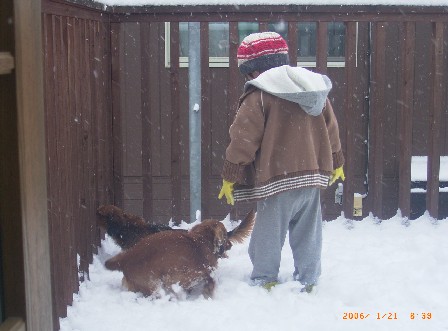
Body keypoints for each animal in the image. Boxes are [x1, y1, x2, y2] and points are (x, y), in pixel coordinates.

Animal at [103, 211, 254, 300]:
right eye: (224, 234)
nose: (230, 245)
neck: (202, 240)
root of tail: (125, 259)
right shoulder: (198, 274)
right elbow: (208, 284)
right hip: (153, 284)